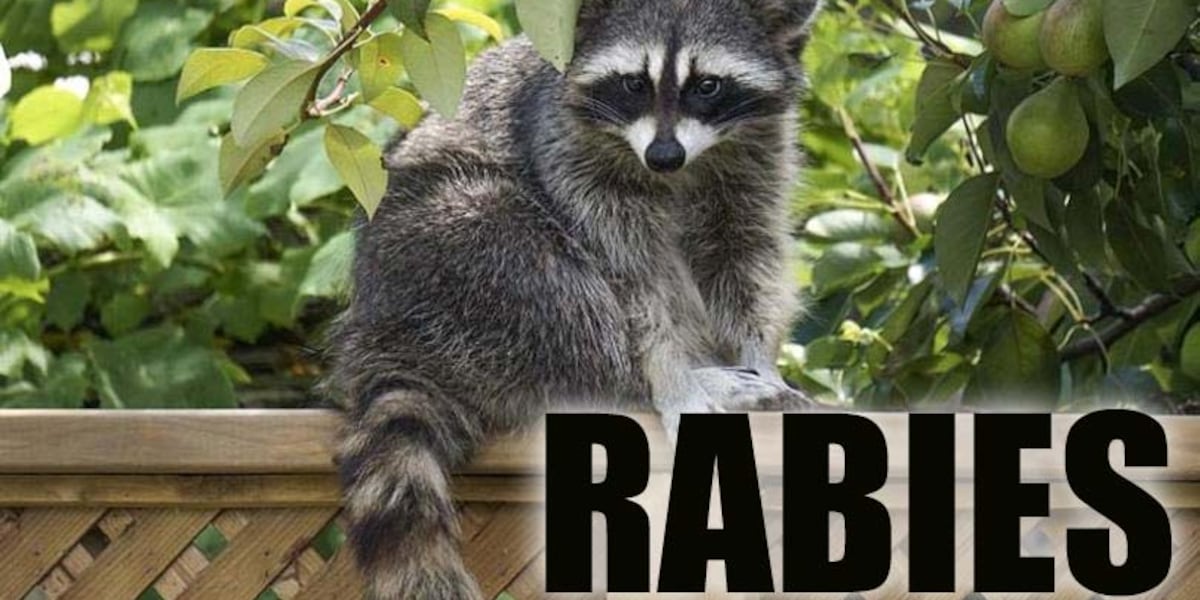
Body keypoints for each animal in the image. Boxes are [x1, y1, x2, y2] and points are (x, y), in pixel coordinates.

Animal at [327, 0, 823, 597]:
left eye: (708, 85)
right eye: (633, 83)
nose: (663, 155)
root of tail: (377, 327)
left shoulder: (758, 154)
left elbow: (745, 255)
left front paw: (758, 354)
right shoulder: (565, 147)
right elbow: (631, 278)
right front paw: (671, 377)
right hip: (437, 254)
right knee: (545, 280)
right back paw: (636, 380)